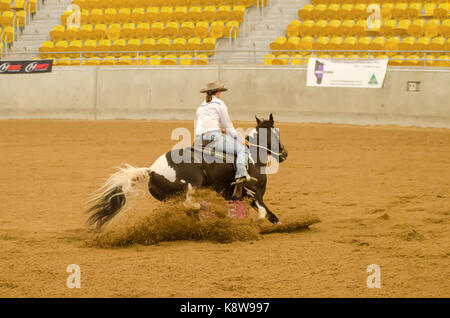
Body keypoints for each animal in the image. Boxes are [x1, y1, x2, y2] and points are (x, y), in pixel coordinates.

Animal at [87, 114, 288, 229]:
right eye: (276, 133)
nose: (284, 153)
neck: (252, 156)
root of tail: (152, 171)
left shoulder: (246, 196)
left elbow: (272, 216)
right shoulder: (255, 193)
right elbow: (265, 214)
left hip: (172, 197)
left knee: (189, 209)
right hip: (192, 185)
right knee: (191, 205)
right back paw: (214, 211)